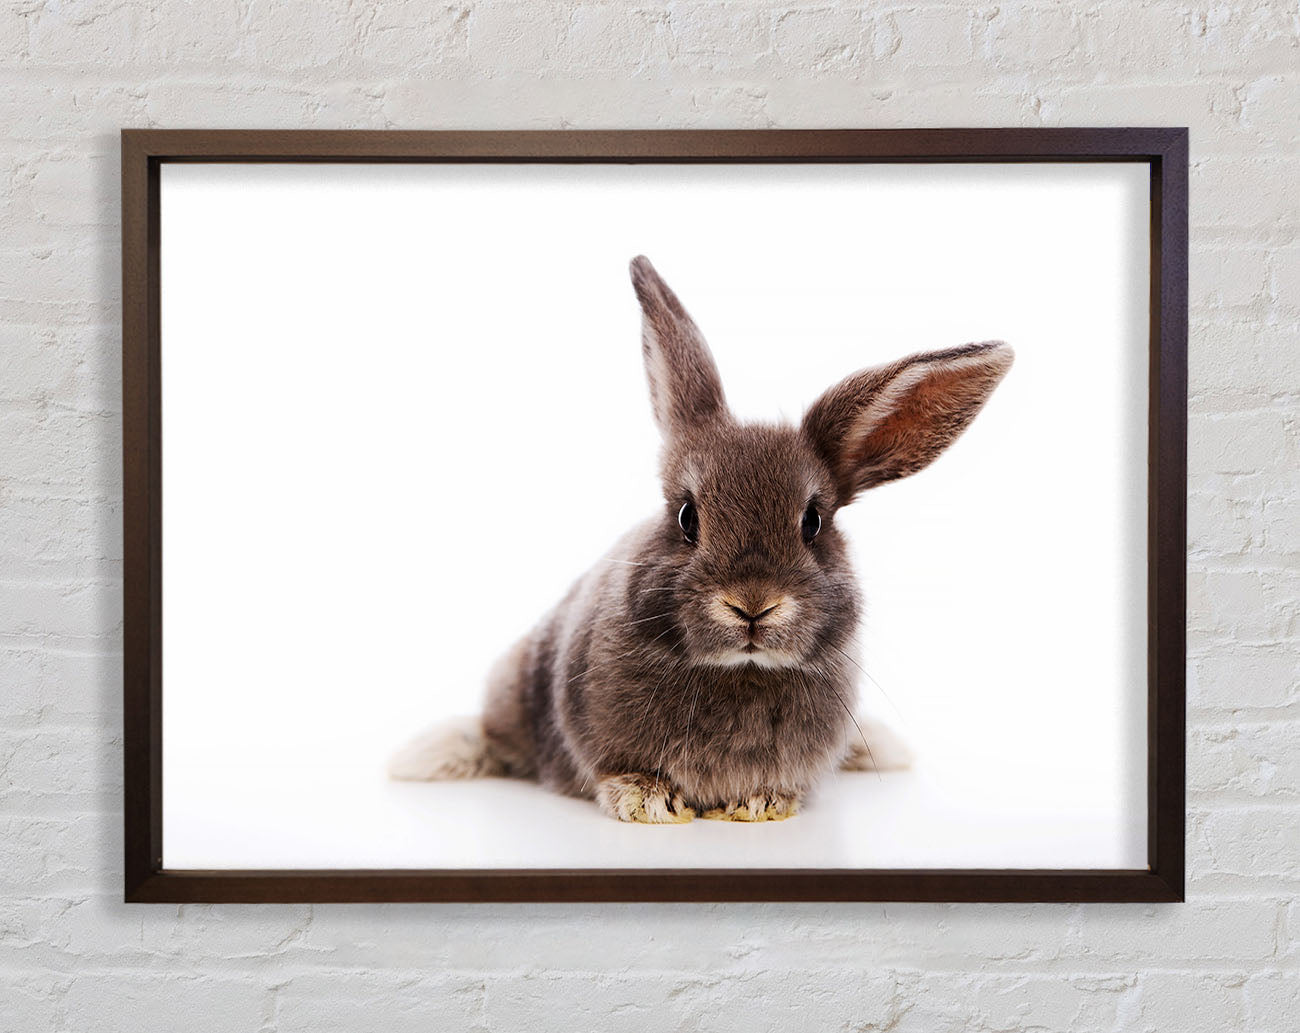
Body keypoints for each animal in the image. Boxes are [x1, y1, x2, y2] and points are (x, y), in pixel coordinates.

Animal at [390, 256, 1013, 823]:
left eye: (813, 522)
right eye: (688, 517)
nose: (753, 604)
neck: (740, 669)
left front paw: (762, 804)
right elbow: (615, 772)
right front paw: (646, 801)